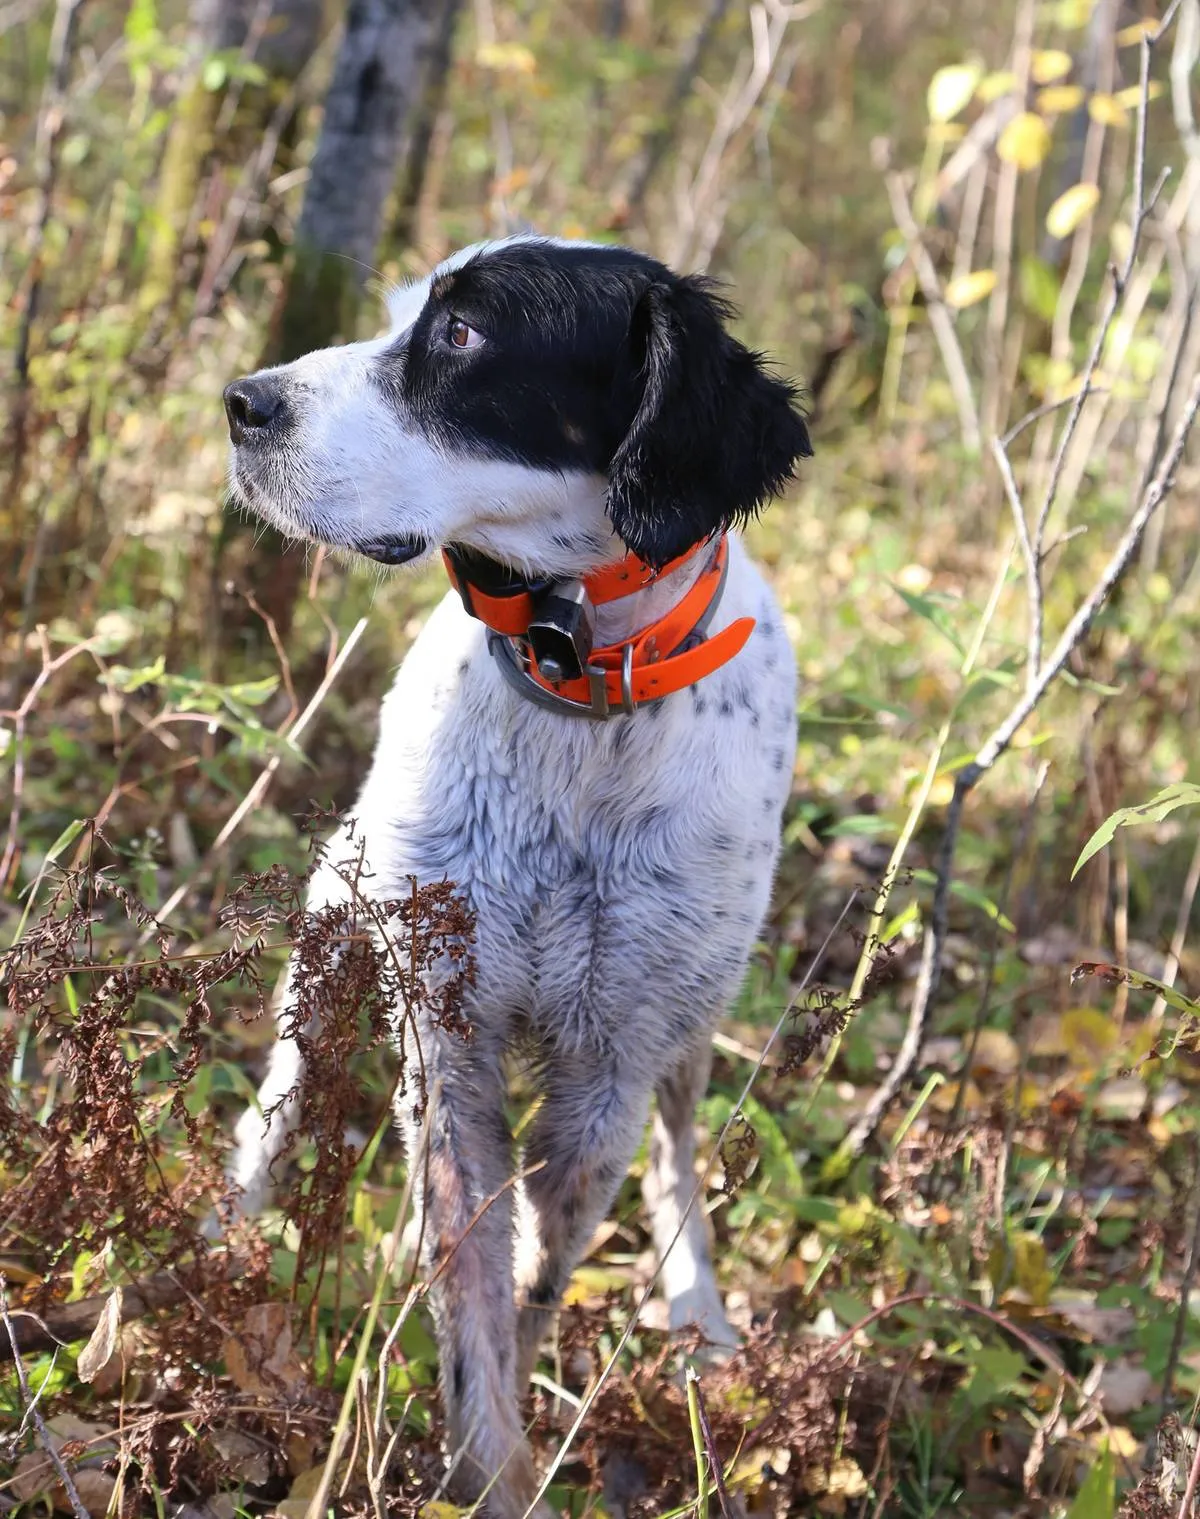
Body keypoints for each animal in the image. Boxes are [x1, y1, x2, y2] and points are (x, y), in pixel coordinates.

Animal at [220, 230, 814, 1512]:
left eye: (462, 334)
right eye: (406, 311)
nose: (240, 402)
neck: (576, 688)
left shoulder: (612, 1068)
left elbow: (537, 1268)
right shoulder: (448, 1033)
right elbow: (474, 1283)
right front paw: (485, 1466)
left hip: (688, 1018)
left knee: (677, 1157)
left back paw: (700, 1309)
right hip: (334, 939)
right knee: (279, 1109)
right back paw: (204, 1251)